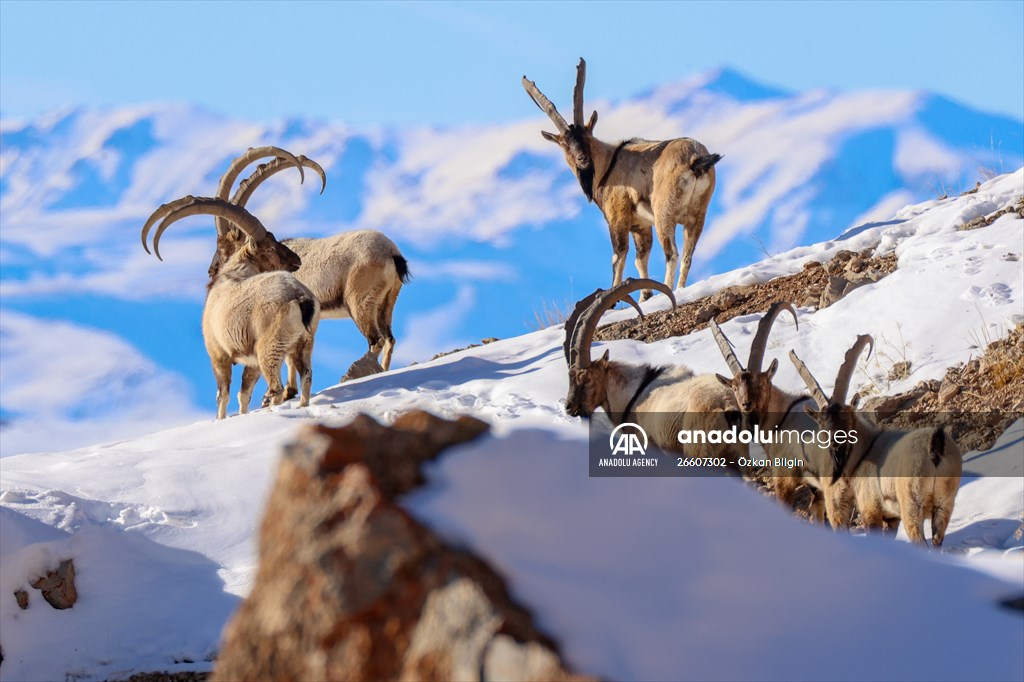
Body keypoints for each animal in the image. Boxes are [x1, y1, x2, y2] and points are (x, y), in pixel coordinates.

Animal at [141, 196, 320, 420]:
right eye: (270, 247)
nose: (297, 260)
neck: (234, 274)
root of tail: (299, 296)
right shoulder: (251, 362)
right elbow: (244, 394)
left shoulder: (218, 354)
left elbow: (223, 395)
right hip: (303, 344)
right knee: (307, 377)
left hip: (270, 348)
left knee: (276, 388)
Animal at [209, 148, 410, 384]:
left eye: (224, 247)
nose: (212, 270)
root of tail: (392, 253)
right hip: (386, 302)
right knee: (389, 339)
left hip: (360, 303)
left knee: (375, 340)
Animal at [523, 59, 722, 299]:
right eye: (564, 143)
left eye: (586, 136)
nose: (582, 159)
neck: (607, 164)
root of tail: (695, 158)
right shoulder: (640, 225)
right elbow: (640, 258)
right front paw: (645, 296)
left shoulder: (617, 216)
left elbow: (618, 257)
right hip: (697, 215)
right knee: (687, 256)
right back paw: (682, 289)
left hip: (665, 213)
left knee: (672, 254)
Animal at [710, 304, 854, 527]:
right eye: (734, 387)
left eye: (760, 382)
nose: (746, 404)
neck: (781, 418)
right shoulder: (815, 488)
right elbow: (816, 510)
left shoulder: (784, 479)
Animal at [790, 337, 962, 546]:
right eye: (822, 425)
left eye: (846, 419)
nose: (835, 447)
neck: (866, 451)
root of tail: (935, 447)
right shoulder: (892, 518)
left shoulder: (870, 509)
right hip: (944, 504)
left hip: (912, 506)